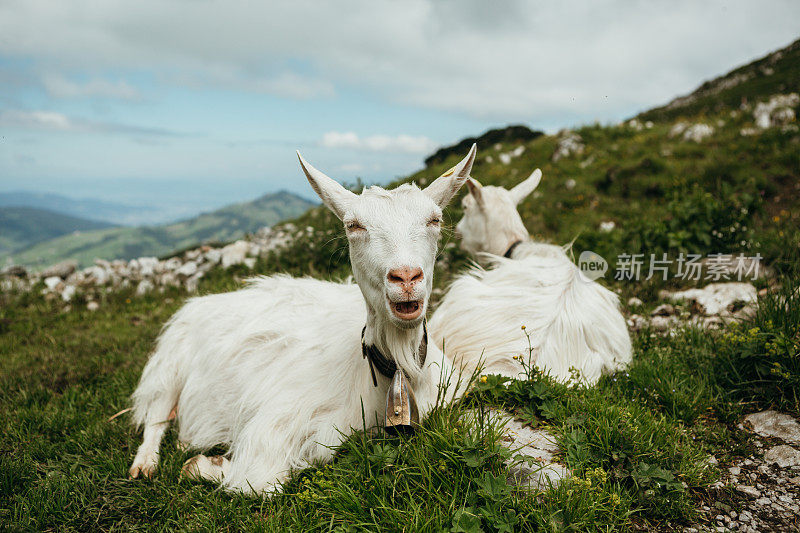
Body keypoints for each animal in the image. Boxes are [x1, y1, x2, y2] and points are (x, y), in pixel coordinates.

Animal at [126, 147, 476, 494]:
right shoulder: (276, 419)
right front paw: (202, 464)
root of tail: (204, 301)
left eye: (434, 219)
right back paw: (145, 465)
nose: (405, 277)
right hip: (170, 364)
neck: (400, 371)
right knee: (157, 416)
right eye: (354, 225)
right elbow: (260, 480)